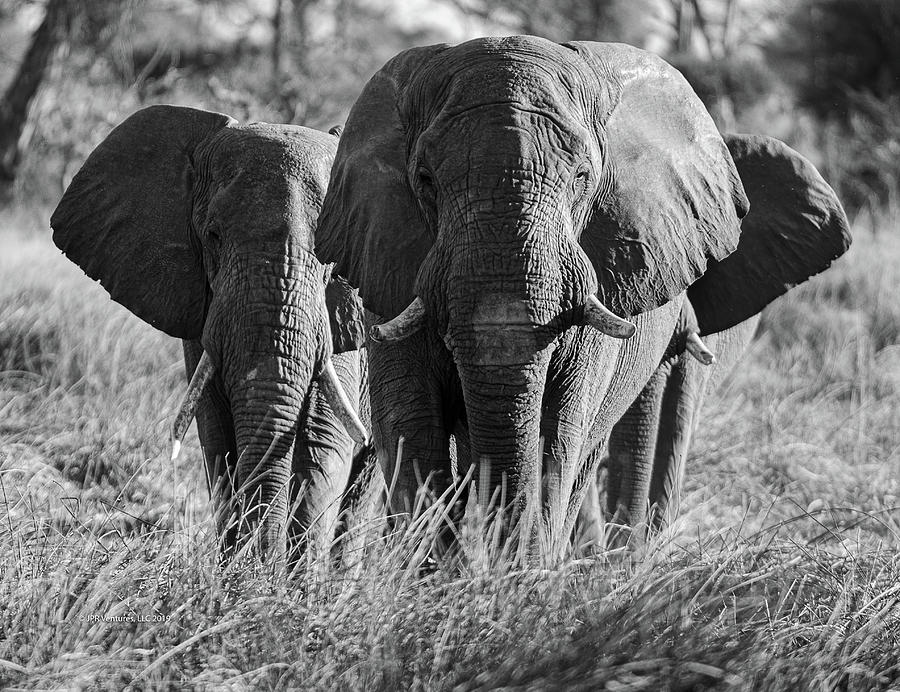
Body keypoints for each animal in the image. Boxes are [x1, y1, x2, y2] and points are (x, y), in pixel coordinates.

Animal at [51, 104, 368, 568]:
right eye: (213, 235)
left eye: (331, 249)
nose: (263, 569)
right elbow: (218, 440)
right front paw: (238, 576)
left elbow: (324, 446)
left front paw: (296, 583)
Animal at [314, 36, 852, 556]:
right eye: (424, 179)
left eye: (581, 178)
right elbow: (413, 431)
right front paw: (440, 580)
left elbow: (559, 432)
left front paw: (519, 577)